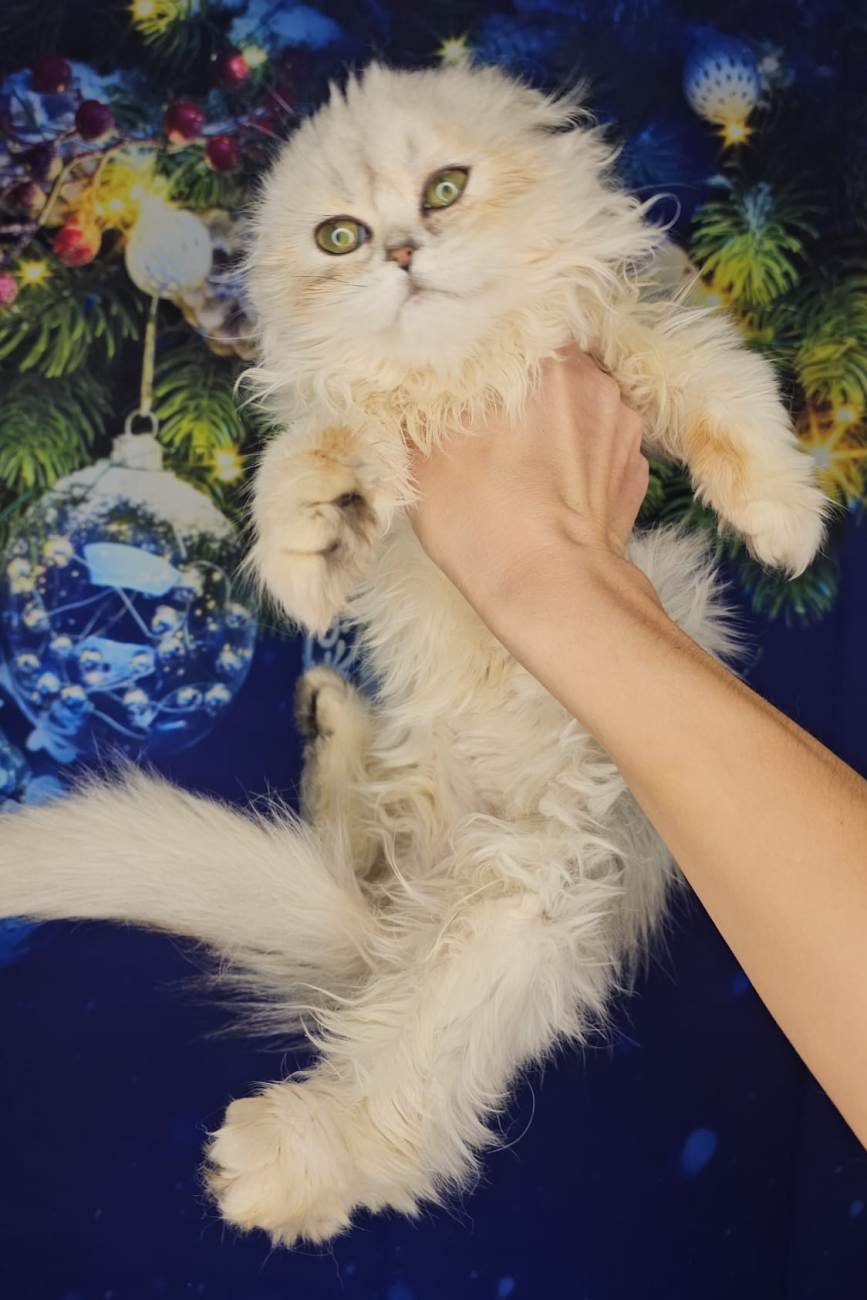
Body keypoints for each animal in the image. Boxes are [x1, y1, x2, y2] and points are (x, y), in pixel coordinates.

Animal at [0, 62, 831, 1247]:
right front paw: (310, 540)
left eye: (445, 188)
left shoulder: (616, 332)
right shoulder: (347, 421)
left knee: (404, 1087)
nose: (399, 251)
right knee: (377, 994)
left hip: (522, 897)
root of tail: (398, 922)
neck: (461, 379)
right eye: (340, 236)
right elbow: (316, 455)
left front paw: (784, 521)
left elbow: (718, 385)